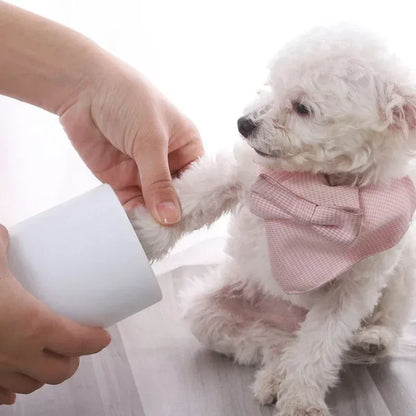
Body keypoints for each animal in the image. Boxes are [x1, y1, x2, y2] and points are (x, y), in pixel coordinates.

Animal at [128, 26, 416, 416]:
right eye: (271, 86)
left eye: (302, 108)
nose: (243, 123)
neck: (322, 192)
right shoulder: (241, 172)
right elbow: (193, 197)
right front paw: (140, 237)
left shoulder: (354, 287)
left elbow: (319, 345)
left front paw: (302, 400)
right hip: (209, 313)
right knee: (273, 343)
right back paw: (274, 375)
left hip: (403, 273)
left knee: (360, 327)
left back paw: (371, 339)